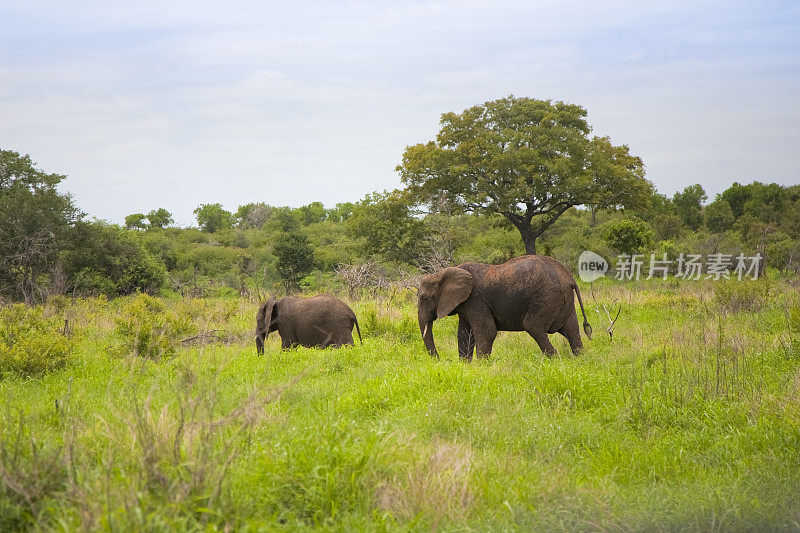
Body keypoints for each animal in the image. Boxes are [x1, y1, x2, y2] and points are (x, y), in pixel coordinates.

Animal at [418, 254, 592, 358]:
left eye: (425, 298)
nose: (440, 360)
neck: (443, 273)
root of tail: (570, 278)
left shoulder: (475, 299)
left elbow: (486, 331)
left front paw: (481, 366)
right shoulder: (465, 303)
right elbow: (464, 333)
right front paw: (465, 366)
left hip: (546, 298)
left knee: (534, 327)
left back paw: (555, 359)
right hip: (563, 301)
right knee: (572, 330)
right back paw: (580, 358)